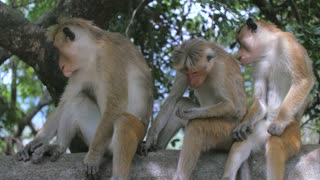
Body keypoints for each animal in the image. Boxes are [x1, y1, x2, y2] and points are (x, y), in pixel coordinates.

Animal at [16, 17, 154, 179]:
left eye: (60, 51)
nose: (61, 66)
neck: (93, 55)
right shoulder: (79, 71)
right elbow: (65, 102)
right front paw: (36, 141)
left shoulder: (111, 58)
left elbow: (115, 105)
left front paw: (93, 156)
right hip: (93, 135)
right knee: (77, 101)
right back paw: (57, 147)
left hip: (126, 136)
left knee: (124, 121)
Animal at [142, 38, 248, 179]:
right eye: (188, 73)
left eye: (195, 72)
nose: (192, 81)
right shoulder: (181, 70)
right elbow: (173, 98)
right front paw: (150, 138)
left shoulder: (220, 69)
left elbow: (232, 106)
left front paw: (190, 113)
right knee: (180, 103)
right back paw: (158, 147)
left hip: (227, 132)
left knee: (197, 125)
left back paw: (180, 175)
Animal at [221, 17, 314, 180]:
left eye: (241, 43)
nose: (238, 56)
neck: (271, 49)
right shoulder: (258, 64)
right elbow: (261, 100)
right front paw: (244, 123)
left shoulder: (289, 45)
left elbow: (303, 80)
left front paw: (278, 123)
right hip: (260, 129)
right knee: (243, 143)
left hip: (293, 133)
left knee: (275, 143)